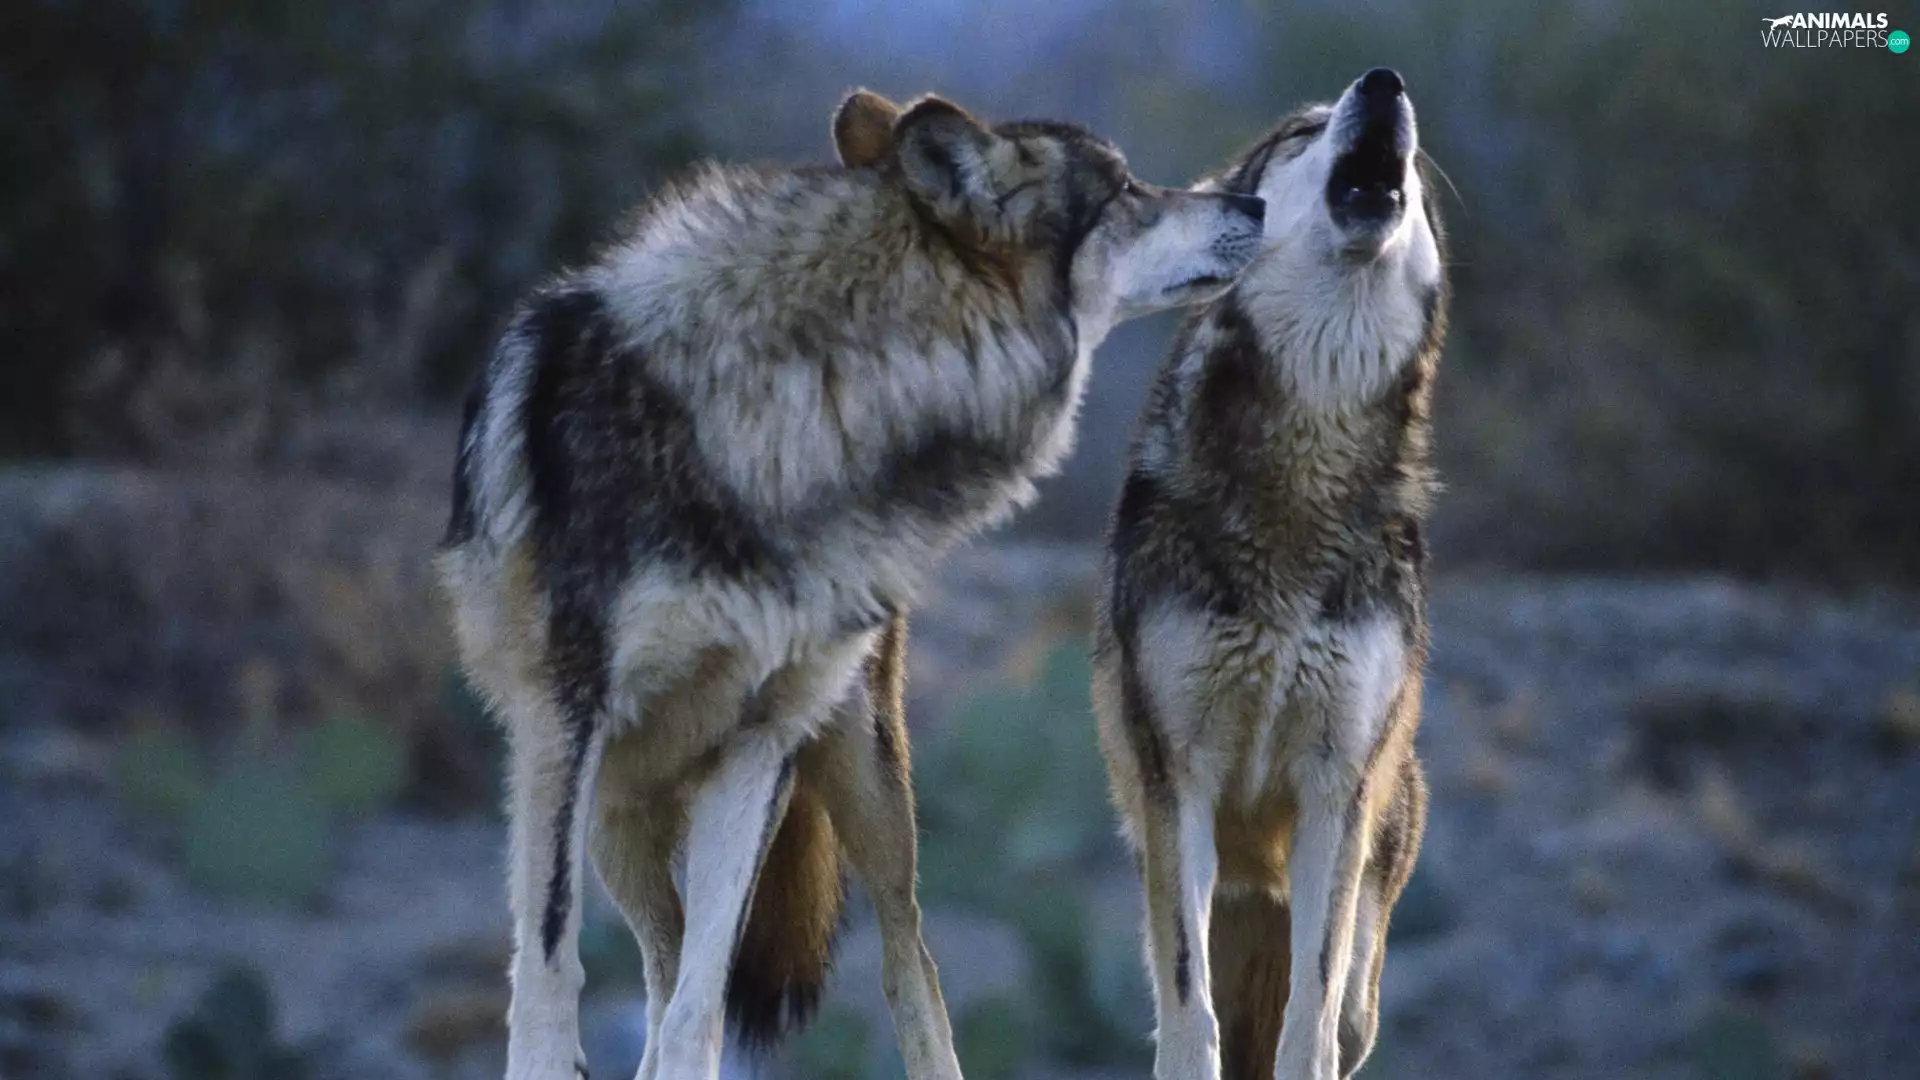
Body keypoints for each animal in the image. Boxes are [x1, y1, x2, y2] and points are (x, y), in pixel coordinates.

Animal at [438, 86, 1265, 1080]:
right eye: (1128, 192)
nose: (1255, 202)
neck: (813, 404)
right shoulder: (566, 721)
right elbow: (555, 965)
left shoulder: (756, 740)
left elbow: (702, 1006)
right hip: (613, 812)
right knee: (657, 965)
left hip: (863, 785)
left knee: (905, 967)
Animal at [1091, 67, 1445, 1080]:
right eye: (1300, 133)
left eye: (1418, 159)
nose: (1384, 82)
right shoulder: (1179, 781)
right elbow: (1188, 1004)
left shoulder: (1337, 788)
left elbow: (1310, 1005)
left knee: (1342, 1009)